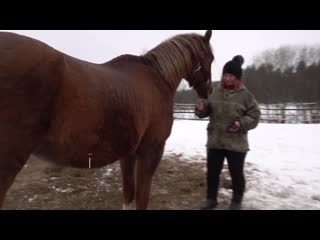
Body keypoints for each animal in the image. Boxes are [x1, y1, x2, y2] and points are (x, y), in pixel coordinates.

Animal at [0, 30, 215, 210]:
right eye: (211, 58)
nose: (207, 98)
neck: (157, 79)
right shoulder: (151, 151)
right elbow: (141, 199)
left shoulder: (128, 154)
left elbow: (128, 195)